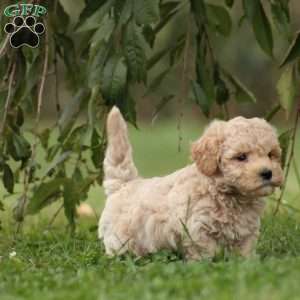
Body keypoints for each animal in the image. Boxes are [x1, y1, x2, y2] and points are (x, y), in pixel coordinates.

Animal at [98, 108, 284, 260]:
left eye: (270, 154)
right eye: (241, 157)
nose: (267, 172)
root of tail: (124, 184)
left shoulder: (247, 231)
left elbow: (244, 252)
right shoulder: (199, 229)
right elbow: (205, 254)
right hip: (119, 239)